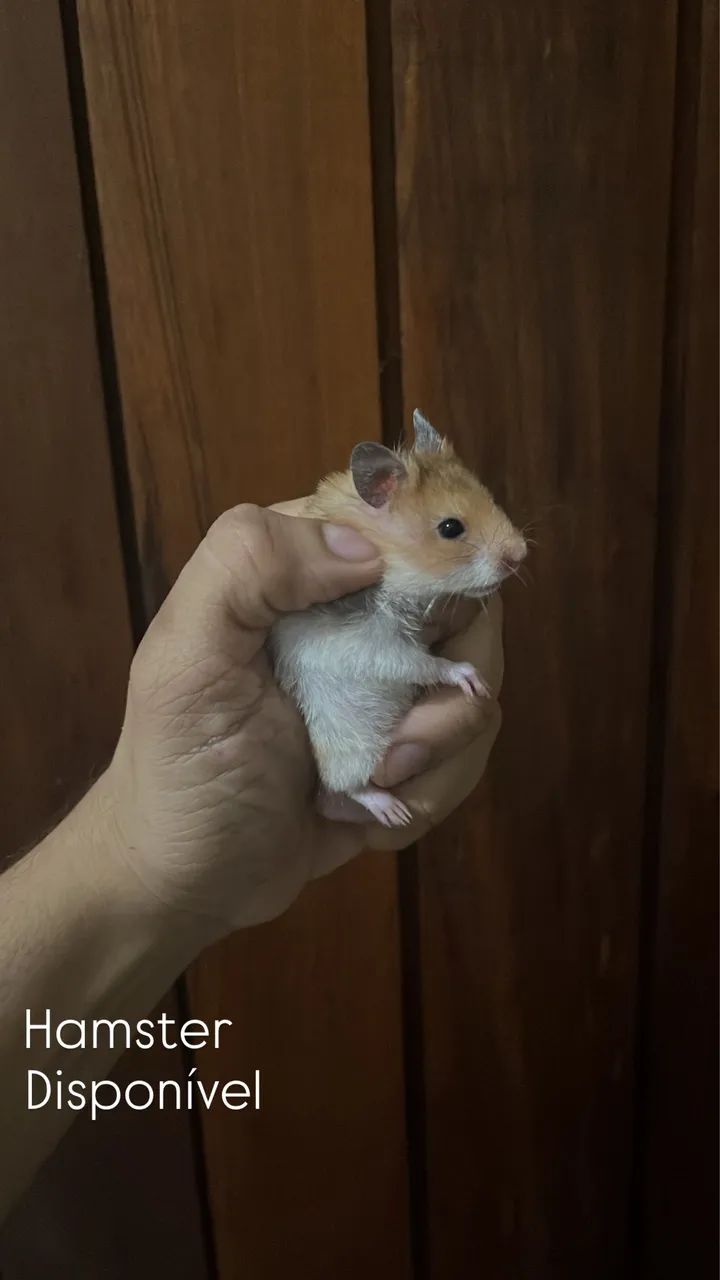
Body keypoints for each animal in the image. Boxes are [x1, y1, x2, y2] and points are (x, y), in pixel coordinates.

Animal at [269, 410, 527, 828]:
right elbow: (420, 661)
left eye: (490, 497)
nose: (521, 554)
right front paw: (472, 680)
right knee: (348, 787)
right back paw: (394, 812)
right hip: (348, 747)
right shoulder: (372, 645)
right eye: (450, 528)